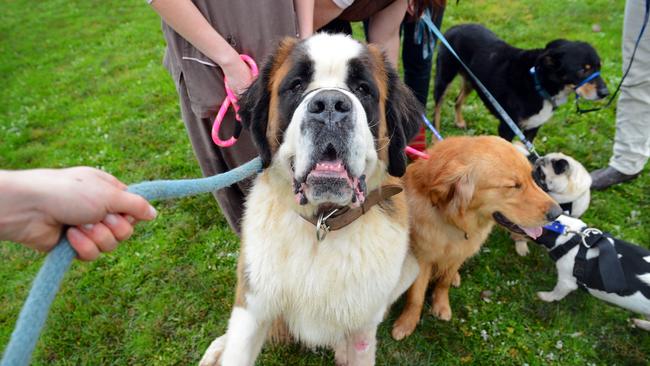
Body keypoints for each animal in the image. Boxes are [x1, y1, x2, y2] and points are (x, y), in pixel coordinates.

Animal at [197, 33, 420, 364]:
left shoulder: (363, 329)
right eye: (297, 85)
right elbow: (238, 347)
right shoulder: (252, 306)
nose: (329, 105)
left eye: (362, 89)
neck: (322, 223)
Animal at [430, 23, 608, 142]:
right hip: (444, 77)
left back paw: (459, 121)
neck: (539, 84)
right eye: (582, 70)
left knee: (457, 99)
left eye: (599, 66)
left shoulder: (533, 128)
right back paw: (435, 139)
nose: (605, 93)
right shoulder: (507, 128)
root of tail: (455, 27)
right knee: (436, 111)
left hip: (471, 80)